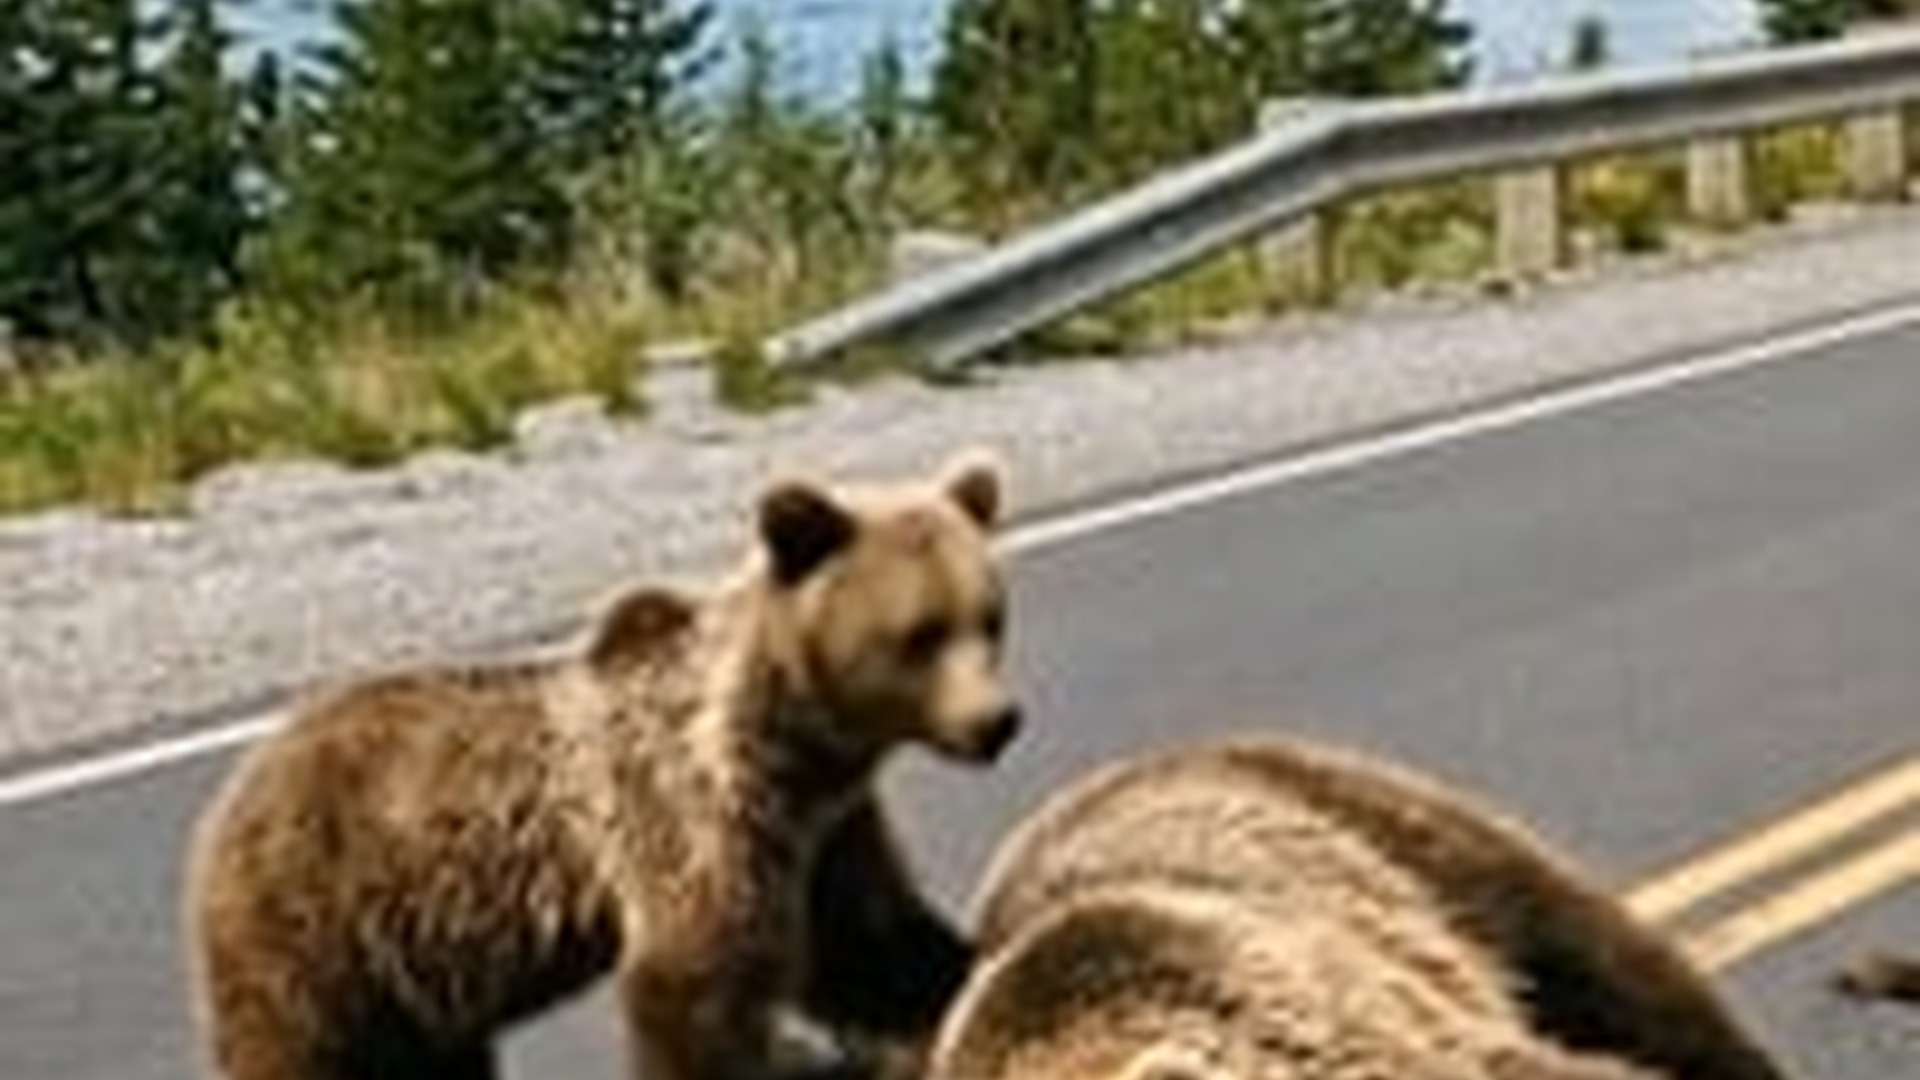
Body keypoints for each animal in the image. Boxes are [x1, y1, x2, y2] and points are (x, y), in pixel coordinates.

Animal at [185, 452, 1020, 1080]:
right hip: (315, 924)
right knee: (300, 1048)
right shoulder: (696, 814)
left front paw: (967, 979)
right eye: (920, 634)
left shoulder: (826, 833)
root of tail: (234, 794)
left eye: (989, 619)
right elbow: (694, 988)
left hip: (416, 971)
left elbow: (871, 944)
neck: (793, 745)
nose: (998, 722)